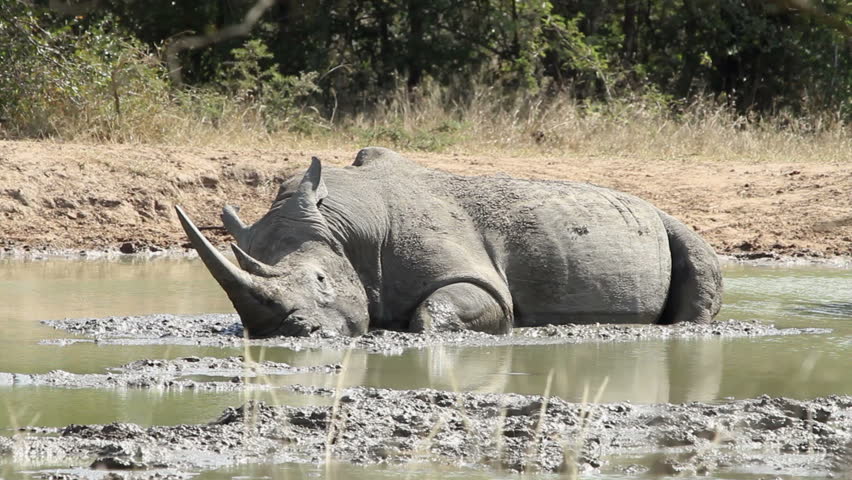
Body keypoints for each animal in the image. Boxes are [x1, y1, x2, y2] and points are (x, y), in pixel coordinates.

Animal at [176, 147, 722, 337]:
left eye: (320, 279)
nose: (283, 332)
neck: (347, 230)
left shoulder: (476, 279)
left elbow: (437, 310)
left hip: (668, 221)